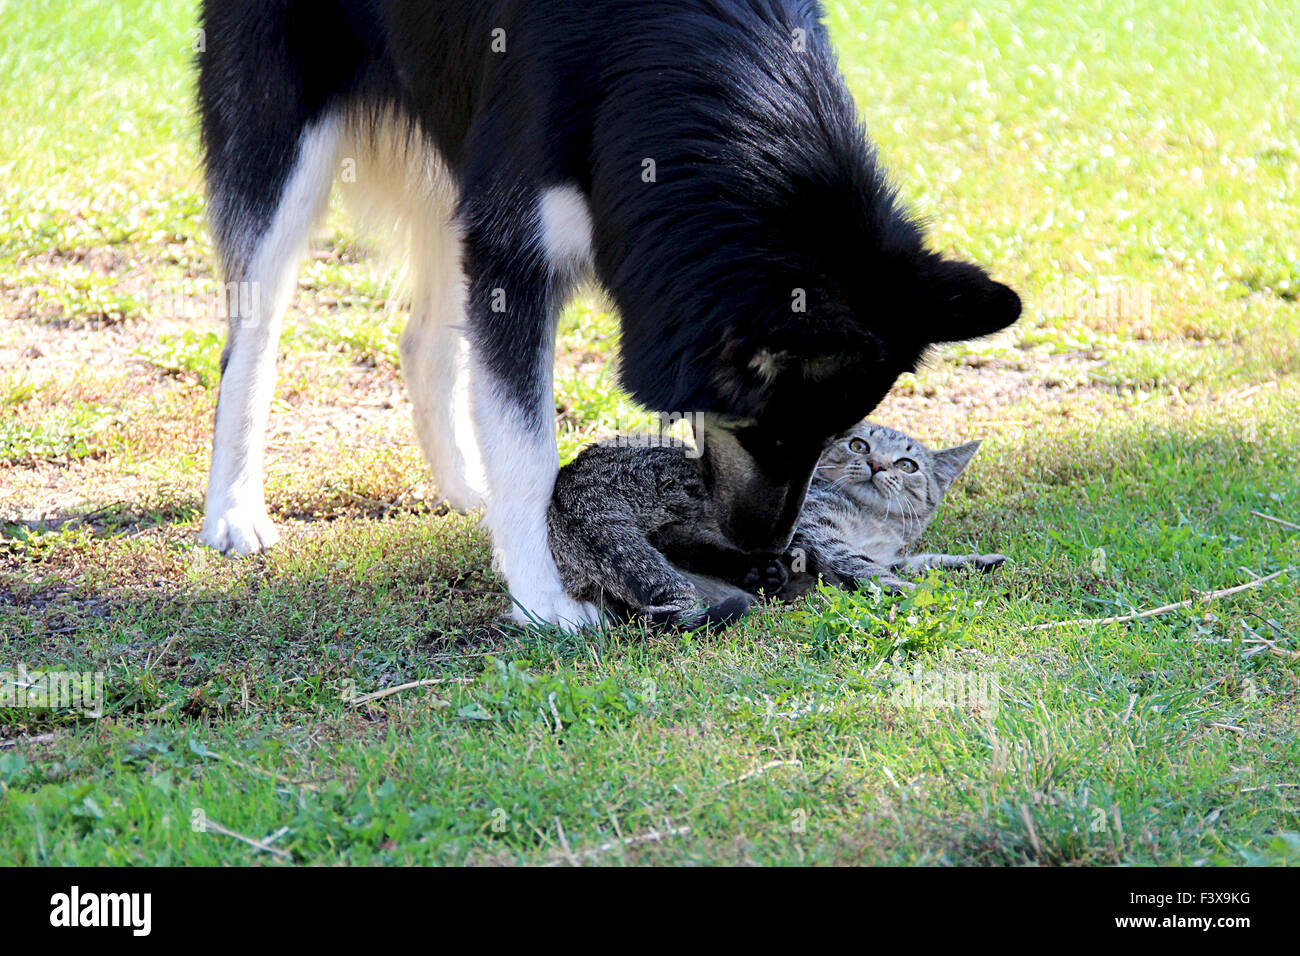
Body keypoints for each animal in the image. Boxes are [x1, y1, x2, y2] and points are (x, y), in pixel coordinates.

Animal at [197, 0, 1019, 632]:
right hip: (282, 145)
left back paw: (465, 488)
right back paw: (234, 511)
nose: (765, 548)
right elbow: (530, 451)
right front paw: (542, 600)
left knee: (424, 340)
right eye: (773, 431)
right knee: (250, 345)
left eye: (835, 437)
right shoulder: (515, 250)